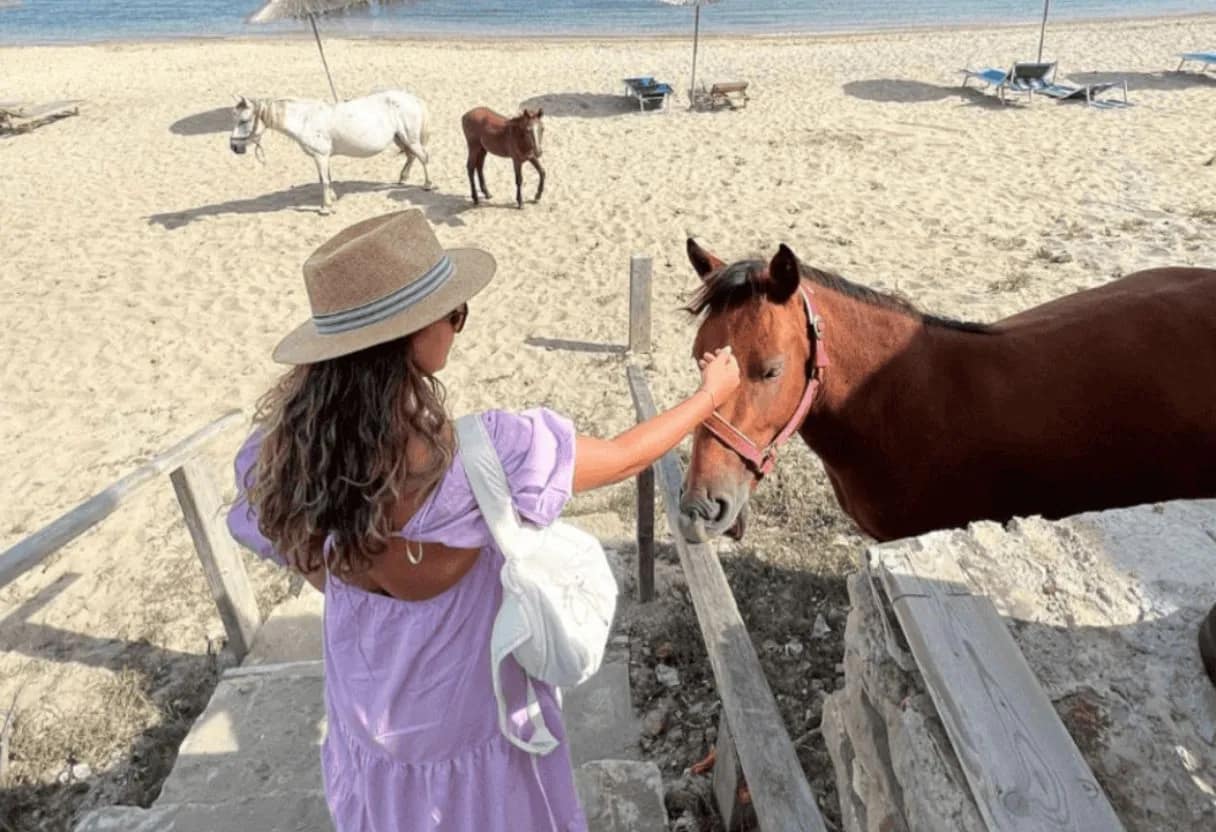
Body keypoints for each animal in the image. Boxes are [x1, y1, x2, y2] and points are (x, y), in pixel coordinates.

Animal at [229, 91, 432, 215]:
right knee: (411, 156)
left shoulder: (320, 155)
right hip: (401, 138)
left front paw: (325, 208)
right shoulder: (322, 157)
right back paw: (403, 178)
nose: (234, 147)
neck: (305, 119)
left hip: (410, 138)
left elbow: (325, 180)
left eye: (244, 120)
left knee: (423, 157)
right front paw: (332, 199)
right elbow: (325, 177)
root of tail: (412, 98)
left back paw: (428, 185)